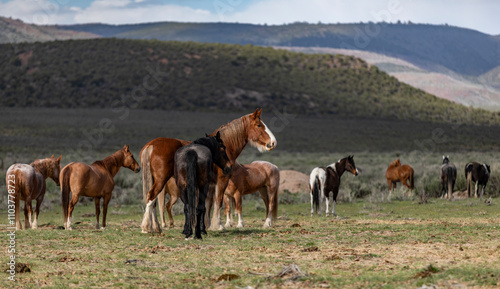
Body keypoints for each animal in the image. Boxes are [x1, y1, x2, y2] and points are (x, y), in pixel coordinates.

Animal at [140, 107, 278, 233]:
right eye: (259, 125)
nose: (273, 143)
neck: (220, 147)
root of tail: (151, 145)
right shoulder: (222, 181)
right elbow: (219, 202)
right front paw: (219, 225)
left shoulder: (209, 184)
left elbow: (208, 204)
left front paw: (206, 225)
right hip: (161, 180)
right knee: (151, 196)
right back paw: (147, 227)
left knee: (152, 201)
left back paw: (155, 227)